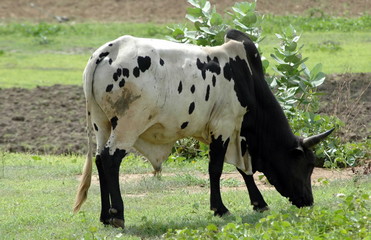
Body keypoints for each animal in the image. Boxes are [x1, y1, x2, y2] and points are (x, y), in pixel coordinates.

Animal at [74, 29, 336, 228]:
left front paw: (259, 203)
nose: (308, 201)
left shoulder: (235, 135)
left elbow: (244, 171)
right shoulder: (225, 127)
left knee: (100, 160)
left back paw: (105, 216)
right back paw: (118, 215)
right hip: (128, 125)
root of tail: (106, 51)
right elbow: (217, 169)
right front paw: (221, 208)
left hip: (101, 124)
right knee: (111, 159)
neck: (248, 80)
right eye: (308, 165)